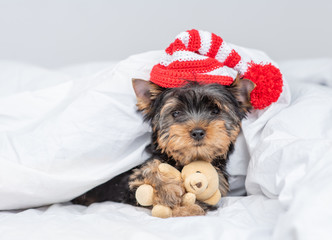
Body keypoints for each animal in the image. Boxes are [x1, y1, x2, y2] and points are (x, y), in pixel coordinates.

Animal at [72, 77, 254, 218]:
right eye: (176, 113)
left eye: (215, 111)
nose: (197, 132)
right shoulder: (130, 182)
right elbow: (149, 171)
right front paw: (169, 192)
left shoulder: (218, 184)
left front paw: (187, 208)